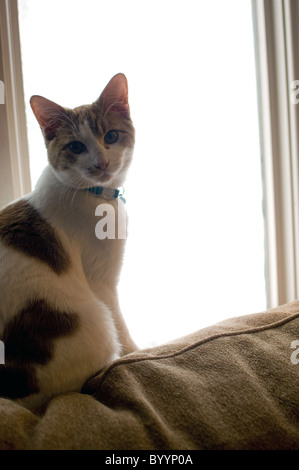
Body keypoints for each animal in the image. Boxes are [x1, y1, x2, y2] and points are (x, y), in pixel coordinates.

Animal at [0, 72, 138, 408]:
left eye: (111, 136)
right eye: (76, 146)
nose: (101, 163)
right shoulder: (102, 281)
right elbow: (124, 330)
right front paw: (137, 353)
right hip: (96, 324)